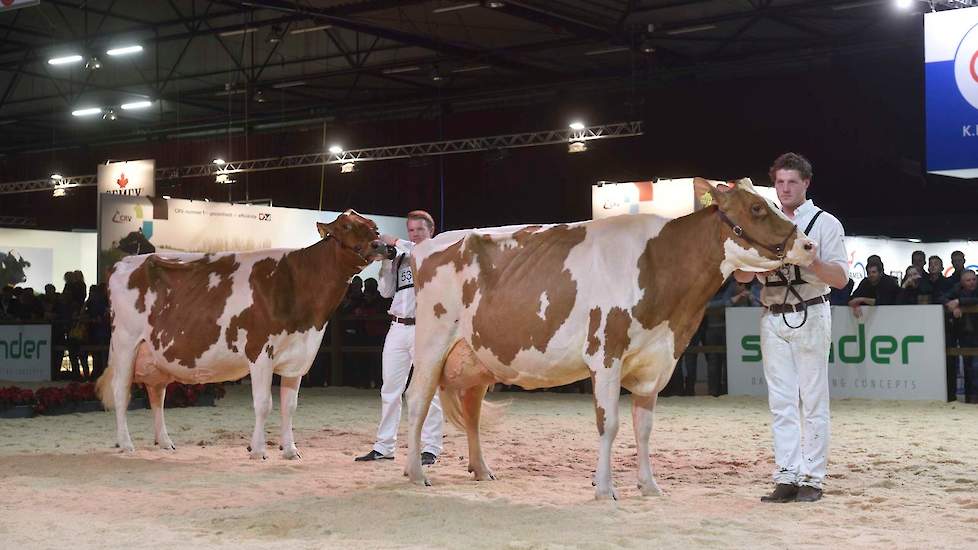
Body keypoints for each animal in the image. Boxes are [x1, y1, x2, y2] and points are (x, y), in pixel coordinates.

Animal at [96, 211, 386, 462]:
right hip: (126, 343)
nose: (383, 246)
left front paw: (290, 450)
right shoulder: (260, 351)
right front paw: (258, 450)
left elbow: (289, 406)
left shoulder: (297, 358)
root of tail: (123, 263)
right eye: (346, 226)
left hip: (154, 355)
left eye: (374, 226)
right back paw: (126, 444)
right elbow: (263, 404)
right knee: (121, 391)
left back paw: (164, 442)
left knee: (156, 393)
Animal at [402, 180, 816, 500]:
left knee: (470, 410)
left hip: (478, 357)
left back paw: (481, 469)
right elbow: (610, 424)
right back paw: (416, 473)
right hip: (431, 343)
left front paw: (649, 486)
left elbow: (643, 429)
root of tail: (426, 245)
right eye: (757, 207)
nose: (809, 246)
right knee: (418, 401)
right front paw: (604, 488)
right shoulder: (605, 356)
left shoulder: (655, 361)